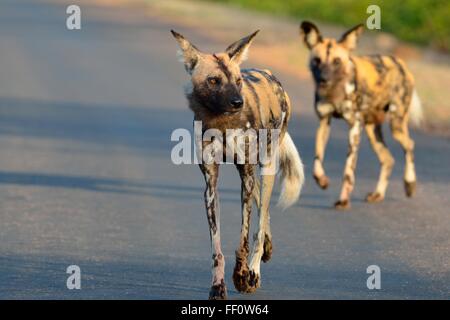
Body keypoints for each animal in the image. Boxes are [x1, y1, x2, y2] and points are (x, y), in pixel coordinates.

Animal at [171, 30, 304, 300]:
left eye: (238, 80)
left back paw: (254, 271)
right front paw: (218, 286)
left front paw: (241, 275)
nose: (237, 102)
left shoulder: (246, 175)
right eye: (213, 80)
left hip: (264, 172)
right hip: (254, 178)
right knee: (264, 213)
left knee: (260, 223)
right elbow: (217, 248)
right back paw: (267, 250)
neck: (221, 124)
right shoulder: (211, 185)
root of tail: (271, 75)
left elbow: (243, 237)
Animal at [298, 20, 422, 210]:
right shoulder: (324, 122)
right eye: (317, 61)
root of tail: (400, 63)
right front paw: (322, 181)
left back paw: (409, 184)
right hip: (372, 131)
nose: (324, 79)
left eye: (336, 61)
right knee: (388, 159)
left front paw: (343, 201)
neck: (336, 92)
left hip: (396, 125)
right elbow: (317, 161)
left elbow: (348, 171)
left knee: (409, 145)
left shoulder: (354, 126)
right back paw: (378, 194)